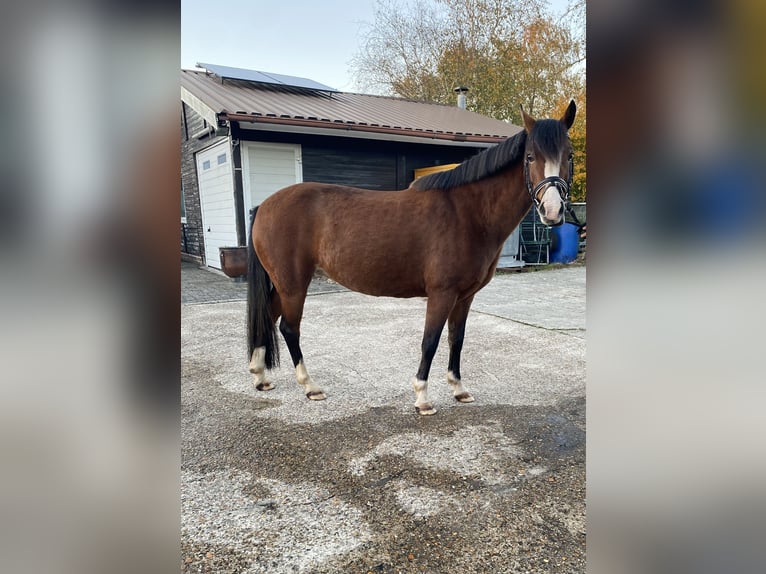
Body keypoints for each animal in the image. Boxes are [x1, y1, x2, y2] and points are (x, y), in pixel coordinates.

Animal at [246, 101, 576, 416]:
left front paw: (459, 389)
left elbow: (456, 338)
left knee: (268, 318)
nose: (552, 211)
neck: (467, 213)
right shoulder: (442, 293)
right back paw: (310, 386)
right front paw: (423, 398)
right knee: (289, 329)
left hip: (284, 285)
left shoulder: (465, 296)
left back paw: (261, 377)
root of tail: (264, 206)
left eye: (570, 155)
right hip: (294, 284)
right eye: (530, 157)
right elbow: (430, 341)